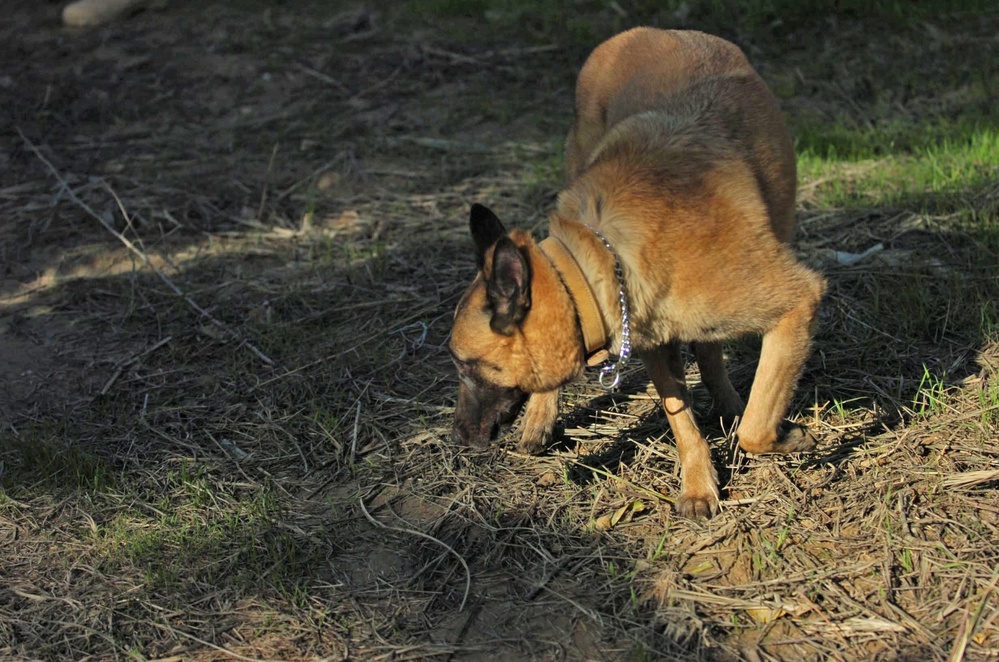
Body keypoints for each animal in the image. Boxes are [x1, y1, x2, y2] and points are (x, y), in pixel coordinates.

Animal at [450, 28, 824, 520]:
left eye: (464, 365)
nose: (456, 437)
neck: (596, 262)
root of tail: (652, 31)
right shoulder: (650, 340)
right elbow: (680, 418)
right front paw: (699, 482)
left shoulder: (796, 302)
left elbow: (755, 428)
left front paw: (784, 436)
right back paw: (541, 418)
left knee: (715, 359)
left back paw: (728, 402)